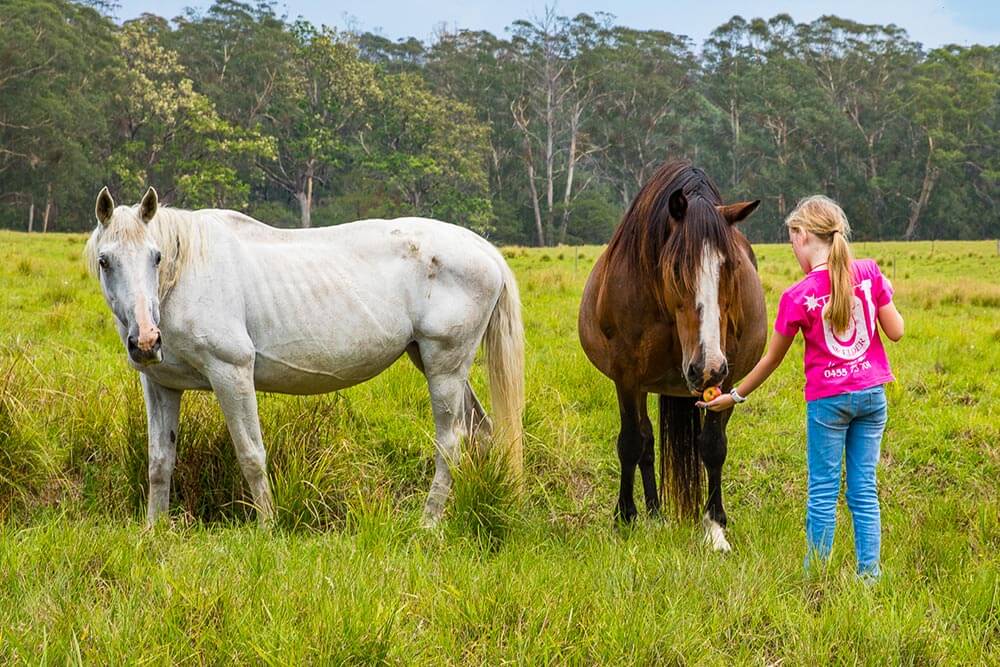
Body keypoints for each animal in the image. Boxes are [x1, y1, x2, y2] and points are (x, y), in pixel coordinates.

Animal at [85, 187, 524, 528]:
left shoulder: (232, 373)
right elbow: (160, 461)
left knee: (451, 443)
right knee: (482, 432)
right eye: (106, 261)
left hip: (444, 368)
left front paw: (267, 527)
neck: (183, 277)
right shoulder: (160, 386)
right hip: (439, 365)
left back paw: (428, 524)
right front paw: (154, 529)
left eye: (156, 257)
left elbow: (251, 454)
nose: (145, 341)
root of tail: (483, 249)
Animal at [580, 159, 764, 552]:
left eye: (732, 267)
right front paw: (625, 518)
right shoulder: (626, 376)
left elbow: (713, 447)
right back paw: (653, 513)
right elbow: (631, 443)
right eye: (678, 267)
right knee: (646, 442)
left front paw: (715, 526)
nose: (706, 367)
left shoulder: (726, 377)